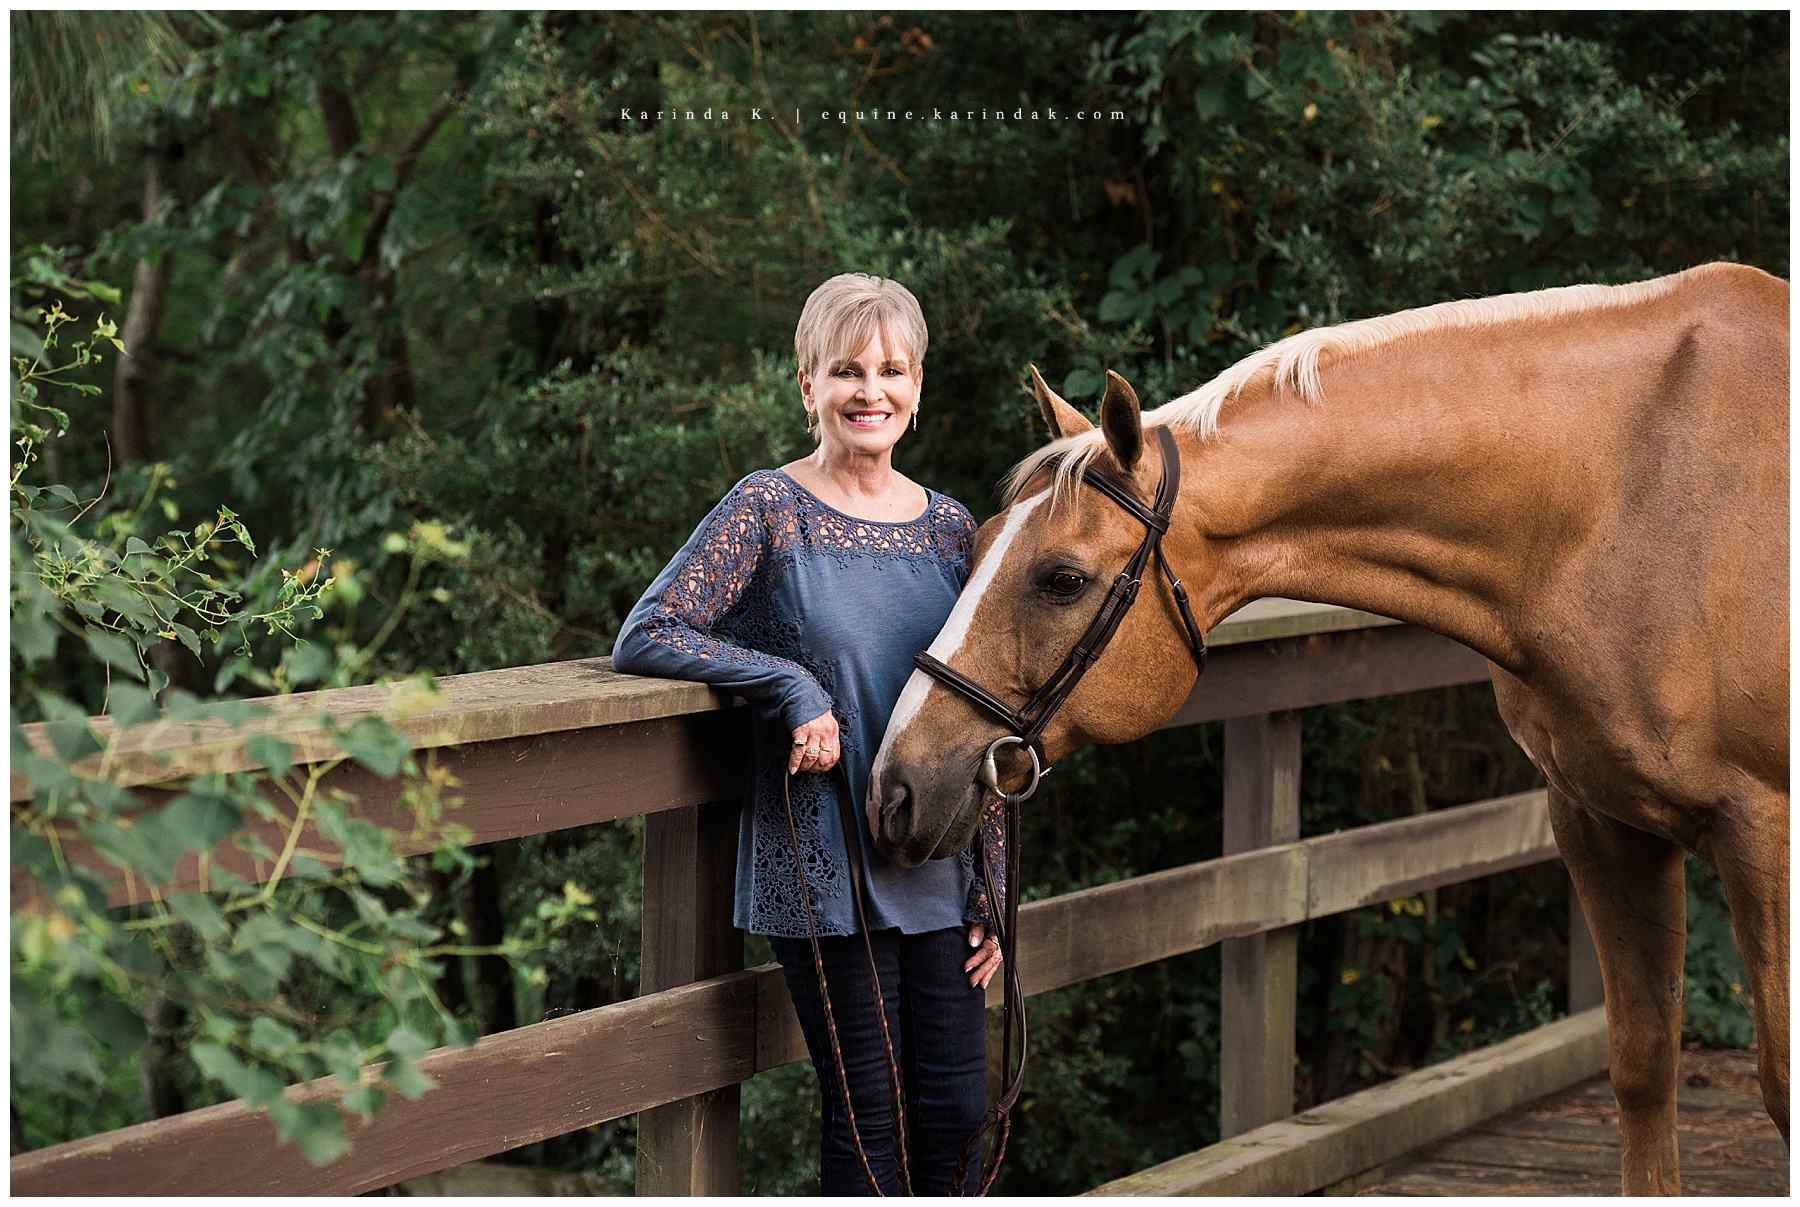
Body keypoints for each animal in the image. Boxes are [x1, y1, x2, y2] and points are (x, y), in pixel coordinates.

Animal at [867, 262, 1788, 1195]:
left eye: (1060, 578)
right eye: (979, 542)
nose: (893, 785)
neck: (1631, 496)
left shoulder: (1762, 834)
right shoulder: (1602, 823)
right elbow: (1642, 1062)